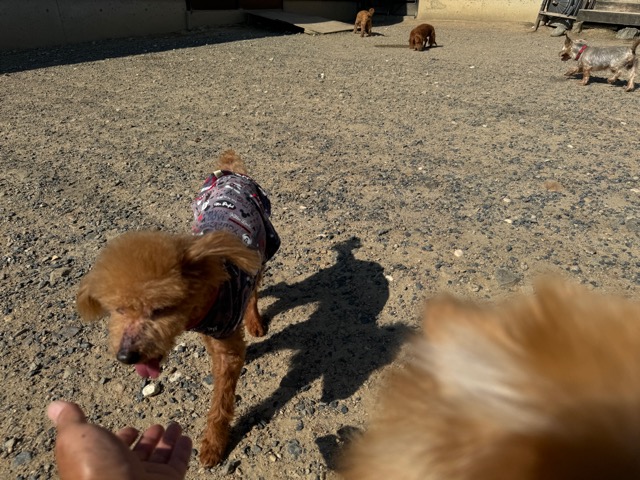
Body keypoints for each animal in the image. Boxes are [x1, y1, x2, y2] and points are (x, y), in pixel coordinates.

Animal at [76, 149, 280, 467]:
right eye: (119, 310)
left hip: (262, 249)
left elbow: (222, 400)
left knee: (256, 288)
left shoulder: (226, 342)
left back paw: (255, 321)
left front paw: (213, 444)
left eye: (160, 308)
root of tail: (232, 172)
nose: (126, 356)